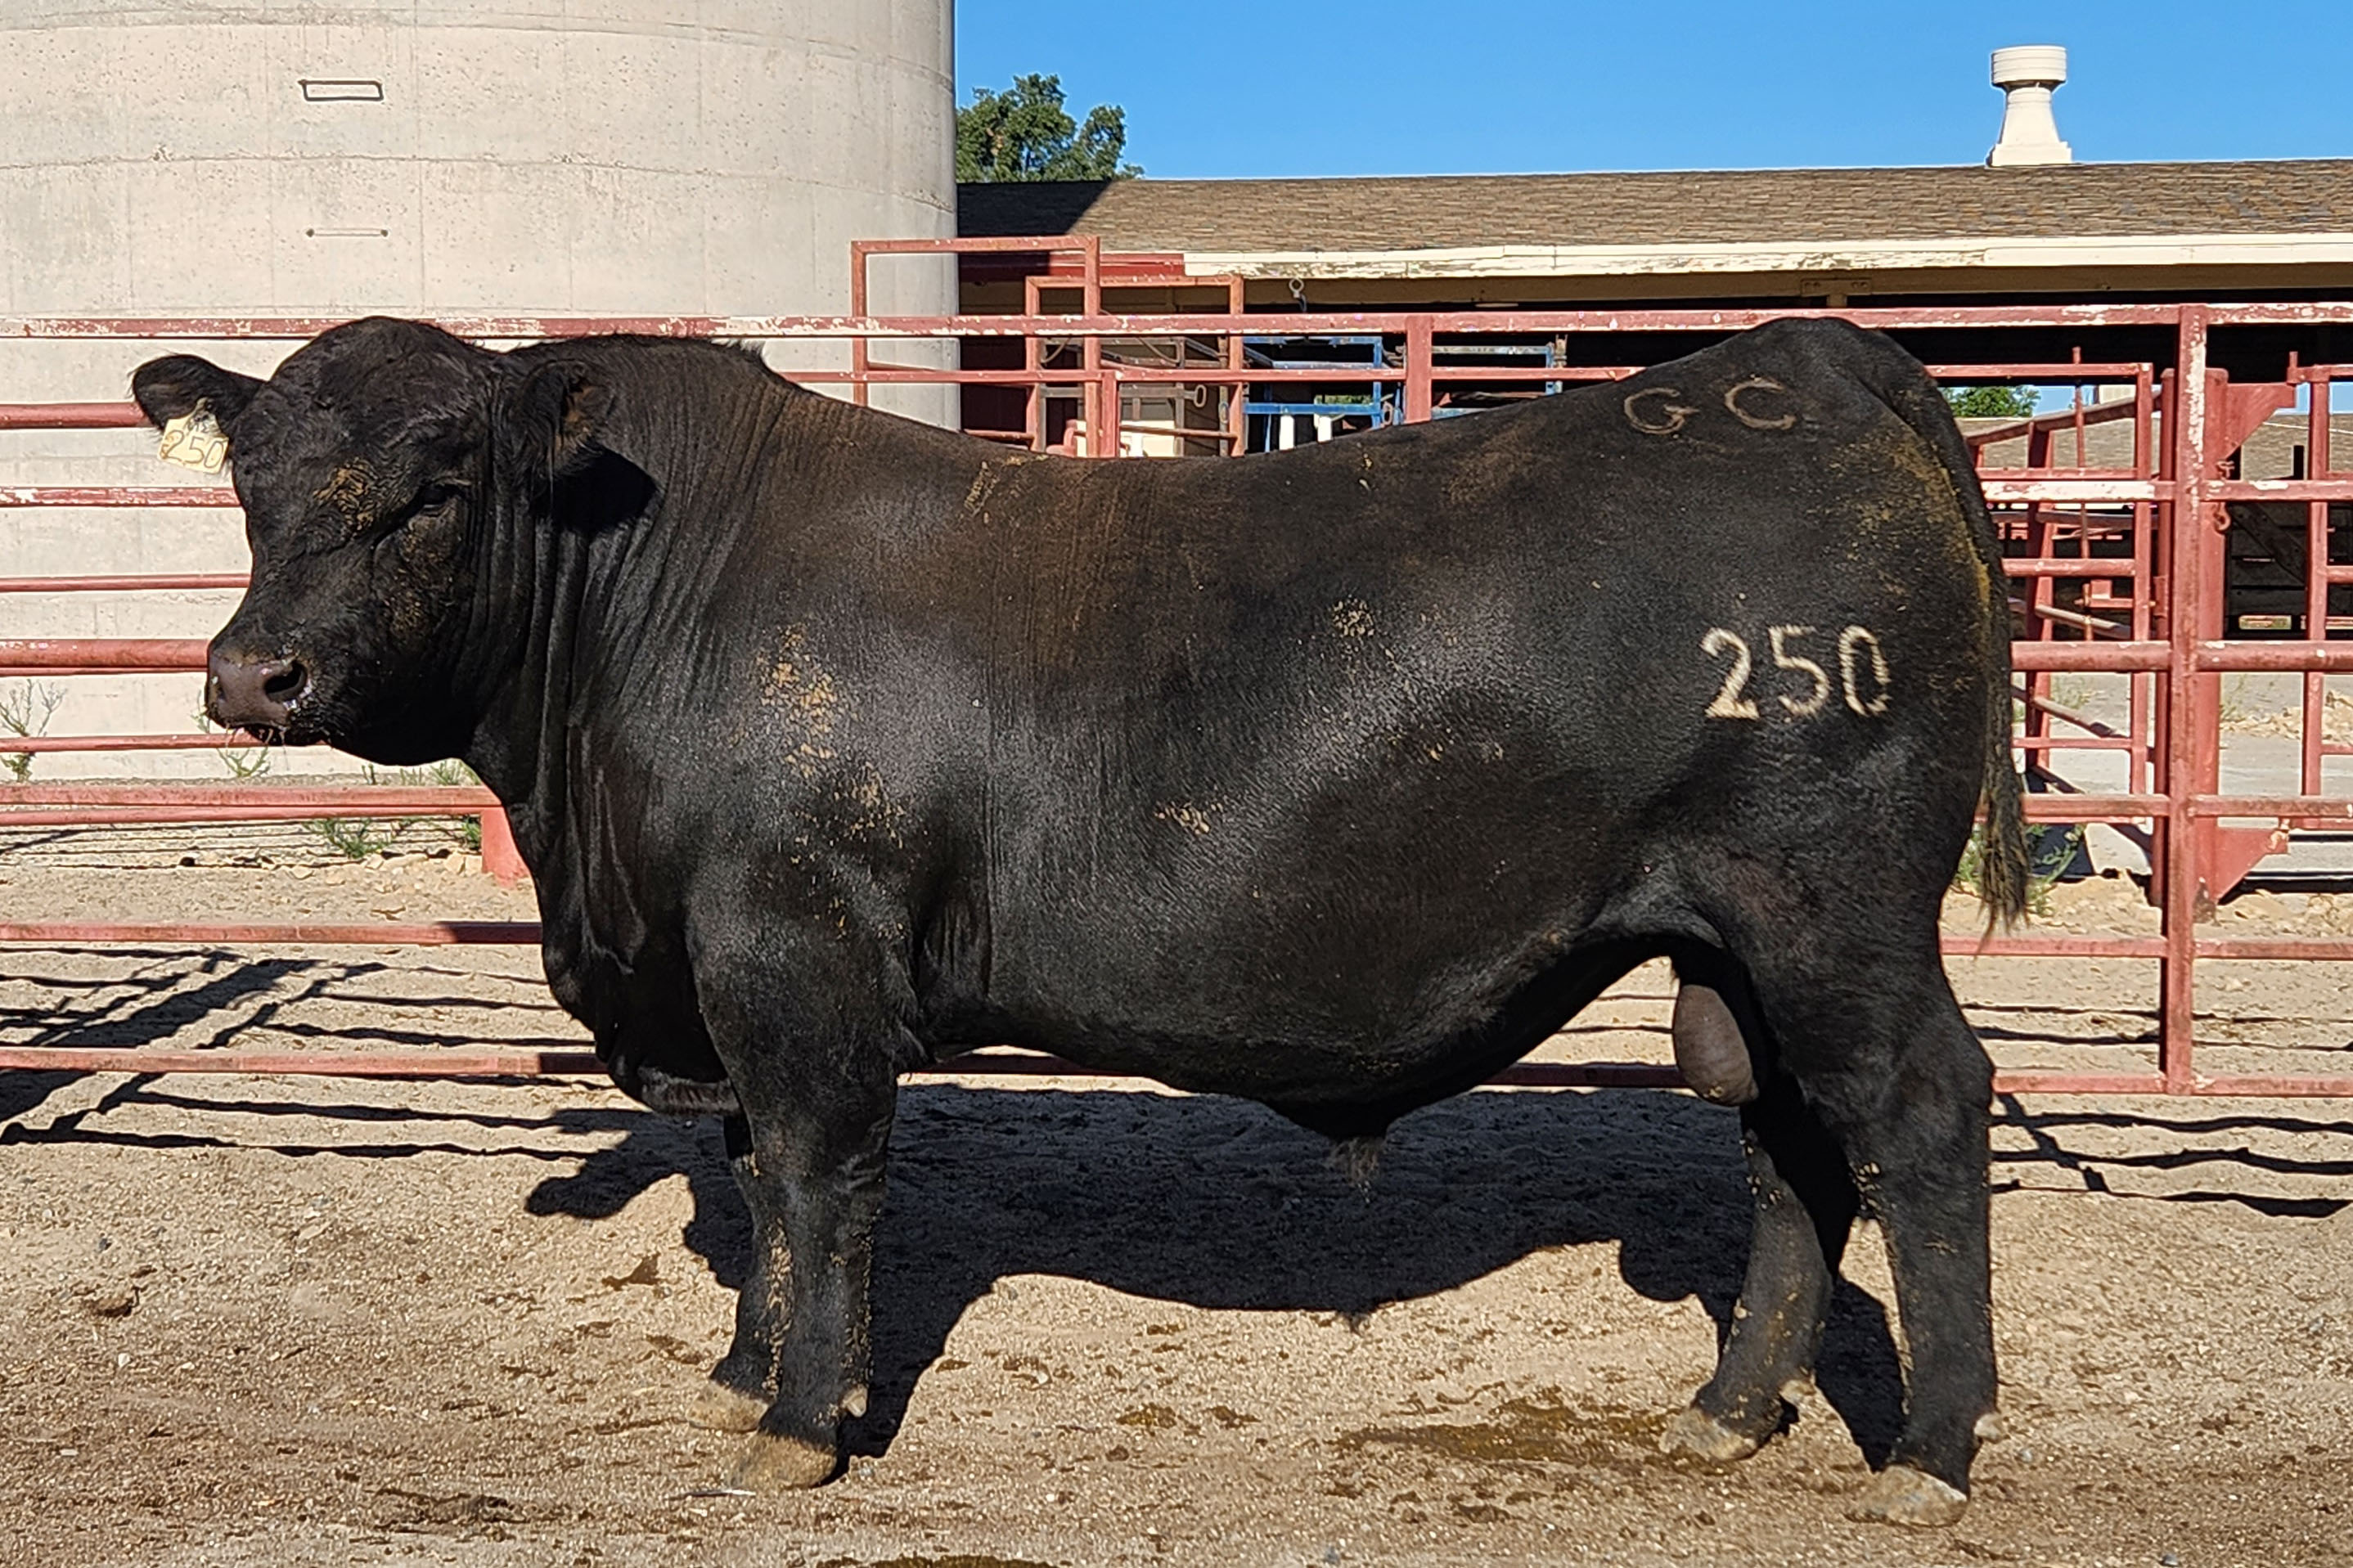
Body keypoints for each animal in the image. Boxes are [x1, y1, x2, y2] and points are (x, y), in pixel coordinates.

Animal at [133, 314, 2026, 1527]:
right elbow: (752, 1187)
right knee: (1790, 1150)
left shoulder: (793, 958)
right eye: (250, 486)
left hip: (1834, 914)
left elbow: (814, 1186)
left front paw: (803, 1422)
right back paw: (1727, 1414)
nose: (251, 673)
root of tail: (1800, 356)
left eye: (433, 488)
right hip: (1737, 950)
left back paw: (1929, 1455)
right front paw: (747, 1375)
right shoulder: (726, 980)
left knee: (1918, 1117)